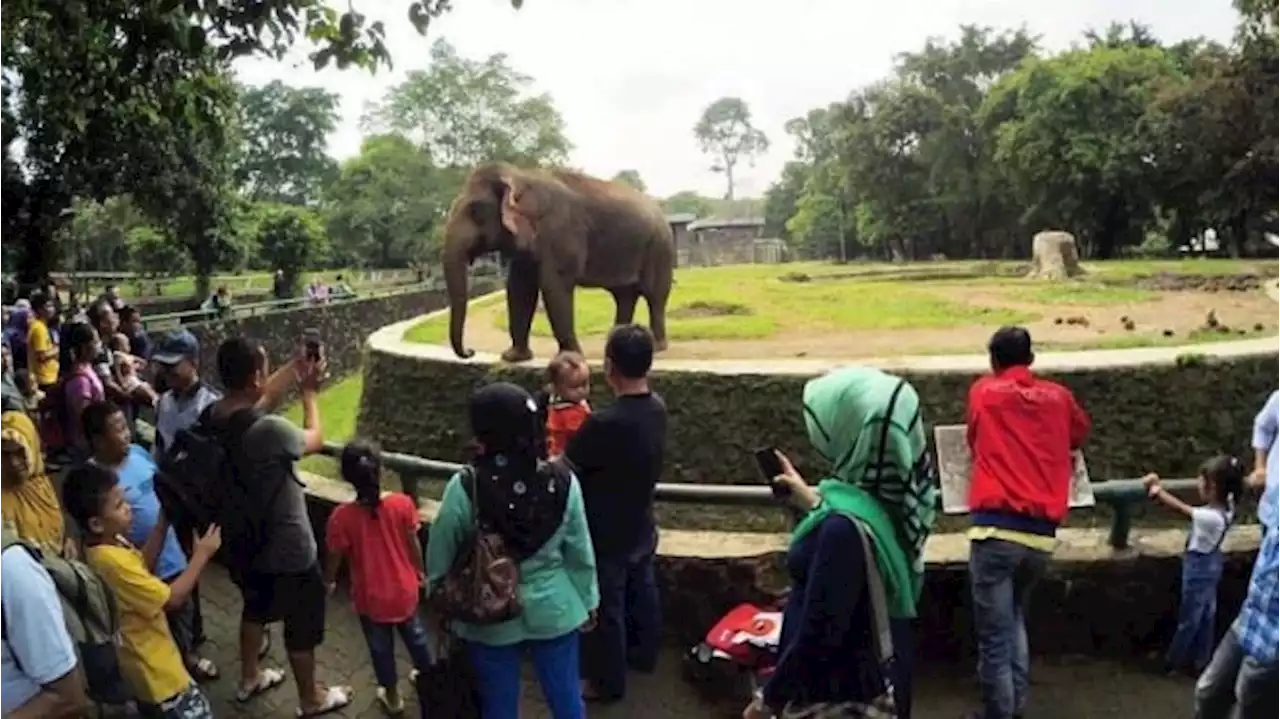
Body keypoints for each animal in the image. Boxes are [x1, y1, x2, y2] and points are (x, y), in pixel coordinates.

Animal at [445, 165, 675, 360]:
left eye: (475, 210)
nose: (470, 351)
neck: (520, 175)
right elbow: (520, 289)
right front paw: (513, 357)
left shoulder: (560, 231)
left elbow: (554, 286)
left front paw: (571, 357)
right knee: (625, 295)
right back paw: (614, 344)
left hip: (659, 247)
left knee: (654, 295)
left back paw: (657, 346)